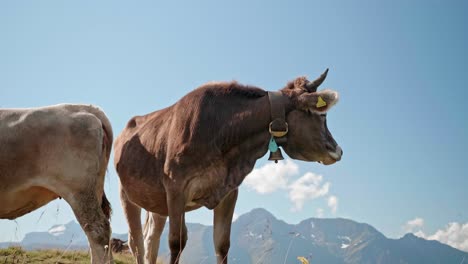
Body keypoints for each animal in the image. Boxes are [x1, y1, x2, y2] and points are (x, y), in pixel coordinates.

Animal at [113, 69, 340, 262]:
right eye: (322, 114)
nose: (338, 151)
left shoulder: (229, 191)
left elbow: (222, 245)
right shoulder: (176, 187)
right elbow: (176, 242)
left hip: (157, 203)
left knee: (151, 240)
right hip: (127, 194)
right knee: (137, 243)